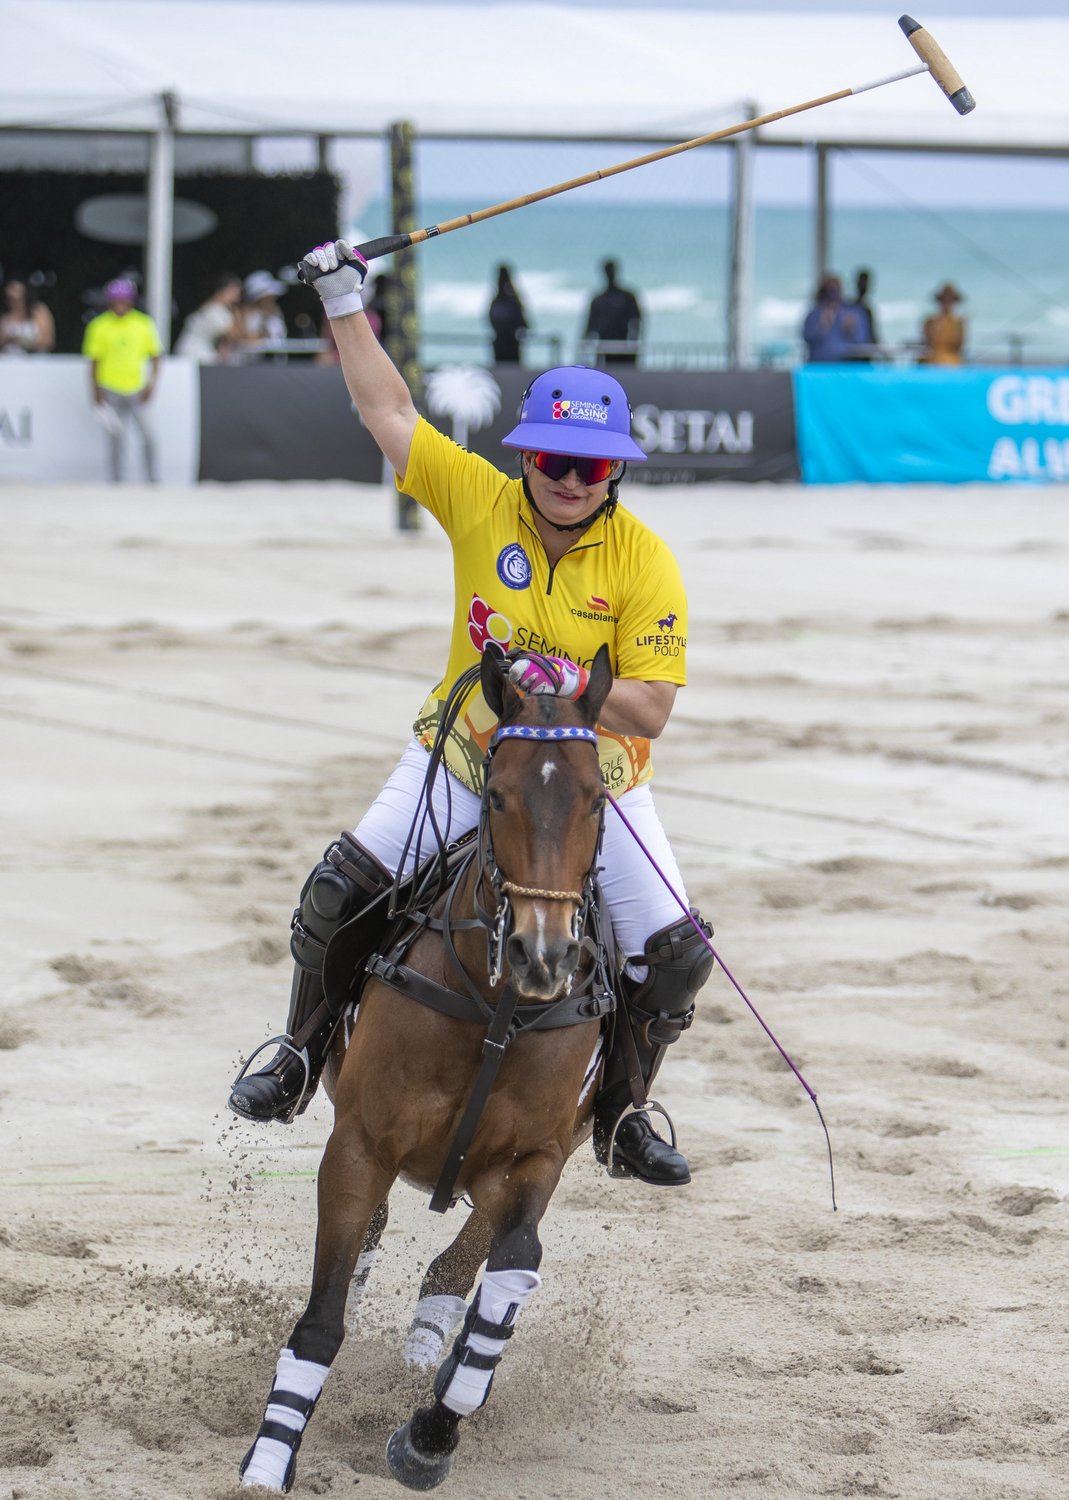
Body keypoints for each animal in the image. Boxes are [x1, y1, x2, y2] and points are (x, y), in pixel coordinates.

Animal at [239, 642, 617, 1488]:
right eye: (498, 796)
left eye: (596, 801)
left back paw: (425, 1358)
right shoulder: (360, 1142)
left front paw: (430, 1433)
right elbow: (322, 1317)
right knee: (337, 882)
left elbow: (508, 1274)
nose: (543, 955)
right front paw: (268, 1460)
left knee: (457, 1267)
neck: (497, 1006)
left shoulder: (537, 1157)